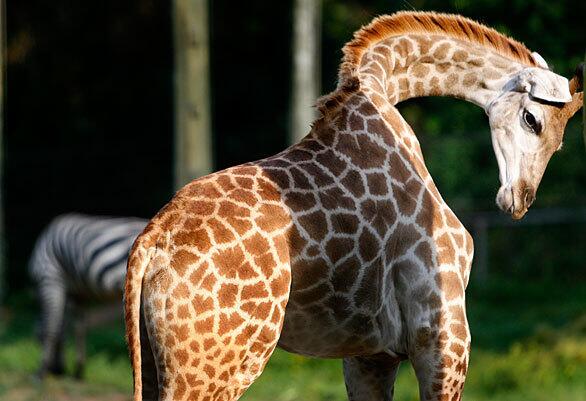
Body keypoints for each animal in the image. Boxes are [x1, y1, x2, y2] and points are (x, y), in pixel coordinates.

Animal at [28, 212, 147, 378]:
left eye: (36, 340)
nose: (56, 370)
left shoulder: (51, 278)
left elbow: (51, 327)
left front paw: (41, 372)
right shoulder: (77, 293)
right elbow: (77, 327)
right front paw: (78, 371)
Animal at [123, 10, 580, 398]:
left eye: (561, 145)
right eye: (532, 120)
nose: (519, 200)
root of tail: (151, 244)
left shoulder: (370, 352)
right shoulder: (444, 334)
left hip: (154, 362)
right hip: (217, 365)